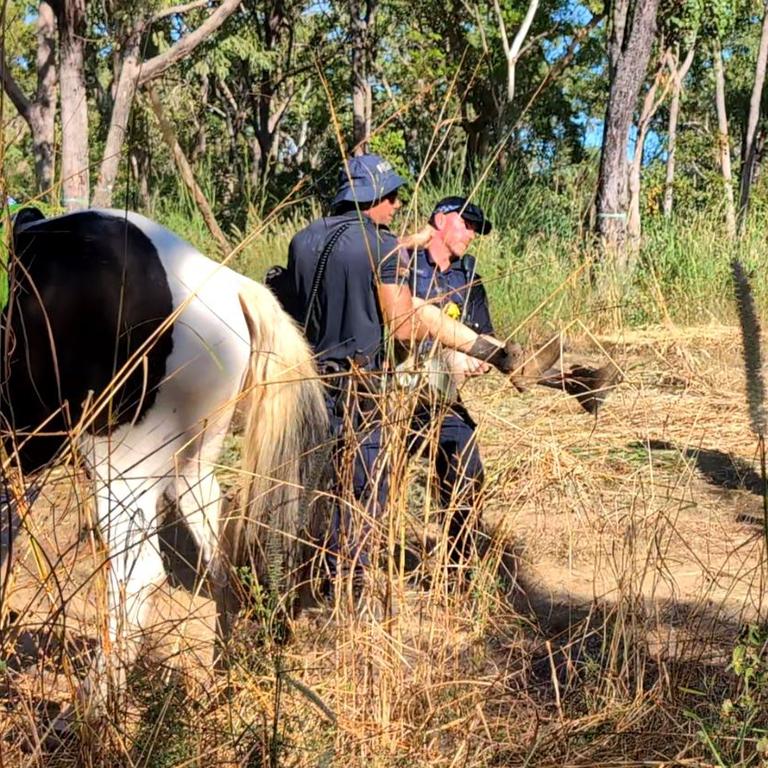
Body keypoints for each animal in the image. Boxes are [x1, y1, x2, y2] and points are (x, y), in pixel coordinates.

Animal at [0, 207, 328, 724]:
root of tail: (229, 284)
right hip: (190, 465)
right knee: (218, 555)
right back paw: (223, 676)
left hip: (121, 464)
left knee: (138, 574)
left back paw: (90, 711)